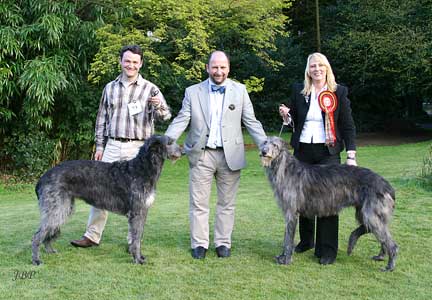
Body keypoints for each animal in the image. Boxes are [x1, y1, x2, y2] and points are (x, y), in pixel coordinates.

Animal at [31, 135, 181, 264]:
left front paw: (138, 255)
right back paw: (36, 260)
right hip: (57, 208)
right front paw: (137, 259)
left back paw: (50, 250)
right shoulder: (137, 212)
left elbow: (137, 236)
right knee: (37, 235)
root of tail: (42, 178)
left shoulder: (143, 211)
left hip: (64, 208)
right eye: (169, 142)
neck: (142, 169)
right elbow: (137, 238)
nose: (183, 151)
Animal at [260, 137, 398, 270]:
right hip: (364, 211)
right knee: (374, 231)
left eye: (275, 145)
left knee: (389, 241)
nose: (263, 152)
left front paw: (286, 260)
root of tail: (387, 186)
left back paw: (389, 265)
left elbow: (288, 239)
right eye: (264, 142)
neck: (285, 169)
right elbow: (286, 238)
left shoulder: (291, 212)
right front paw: (282, 256)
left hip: (370, 213)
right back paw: (376, 254)